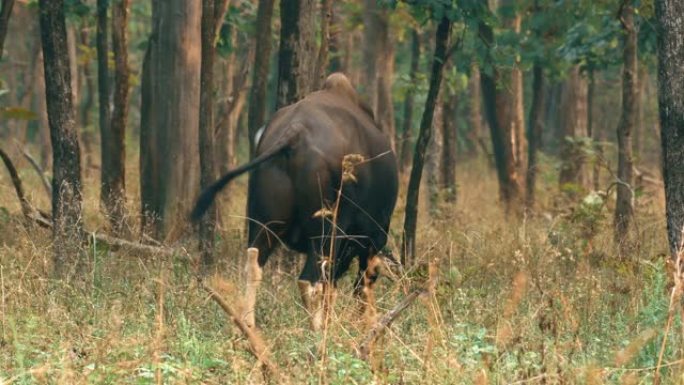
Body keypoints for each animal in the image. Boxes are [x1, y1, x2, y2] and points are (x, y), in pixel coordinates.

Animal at [190, 73, 398, 328]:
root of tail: (295, 132)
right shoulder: (374, 236)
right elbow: (361, 286)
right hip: (326, 232)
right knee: (310, 280)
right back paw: (316, 330)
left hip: (264, 221)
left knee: (254, 262)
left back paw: (248, 324)